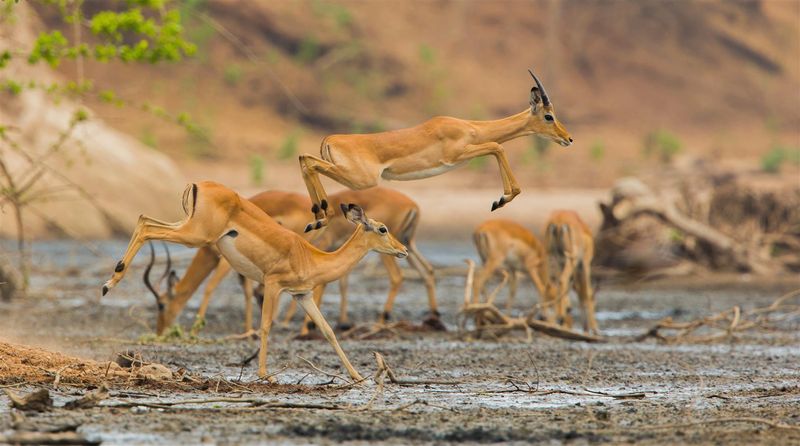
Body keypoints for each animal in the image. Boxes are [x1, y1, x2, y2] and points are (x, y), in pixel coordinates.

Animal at [102, 181, 408, 381]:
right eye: (382, 229)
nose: (403, 250)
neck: (311, 258)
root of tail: (201, 183)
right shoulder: (273, 285)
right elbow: (265, 326)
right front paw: (265, 375)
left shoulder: (302, 295)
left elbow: (328, 331)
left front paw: (357, 376)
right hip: (195, 236)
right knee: (146, 225)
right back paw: (110, 283)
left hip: (190, 230)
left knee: (144, 218)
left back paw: (110, 280)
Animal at [300, 69, 572, 231]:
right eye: (548, 116)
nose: (568, 138)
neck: (469, 127)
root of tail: (330, 138)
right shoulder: (457, 156)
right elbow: (497, 146)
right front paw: (500, 200)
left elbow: (496, 147)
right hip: (361, 180)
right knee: (309, 161)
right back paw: (322, 216)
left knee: (304, 158)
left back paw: (319, 218)